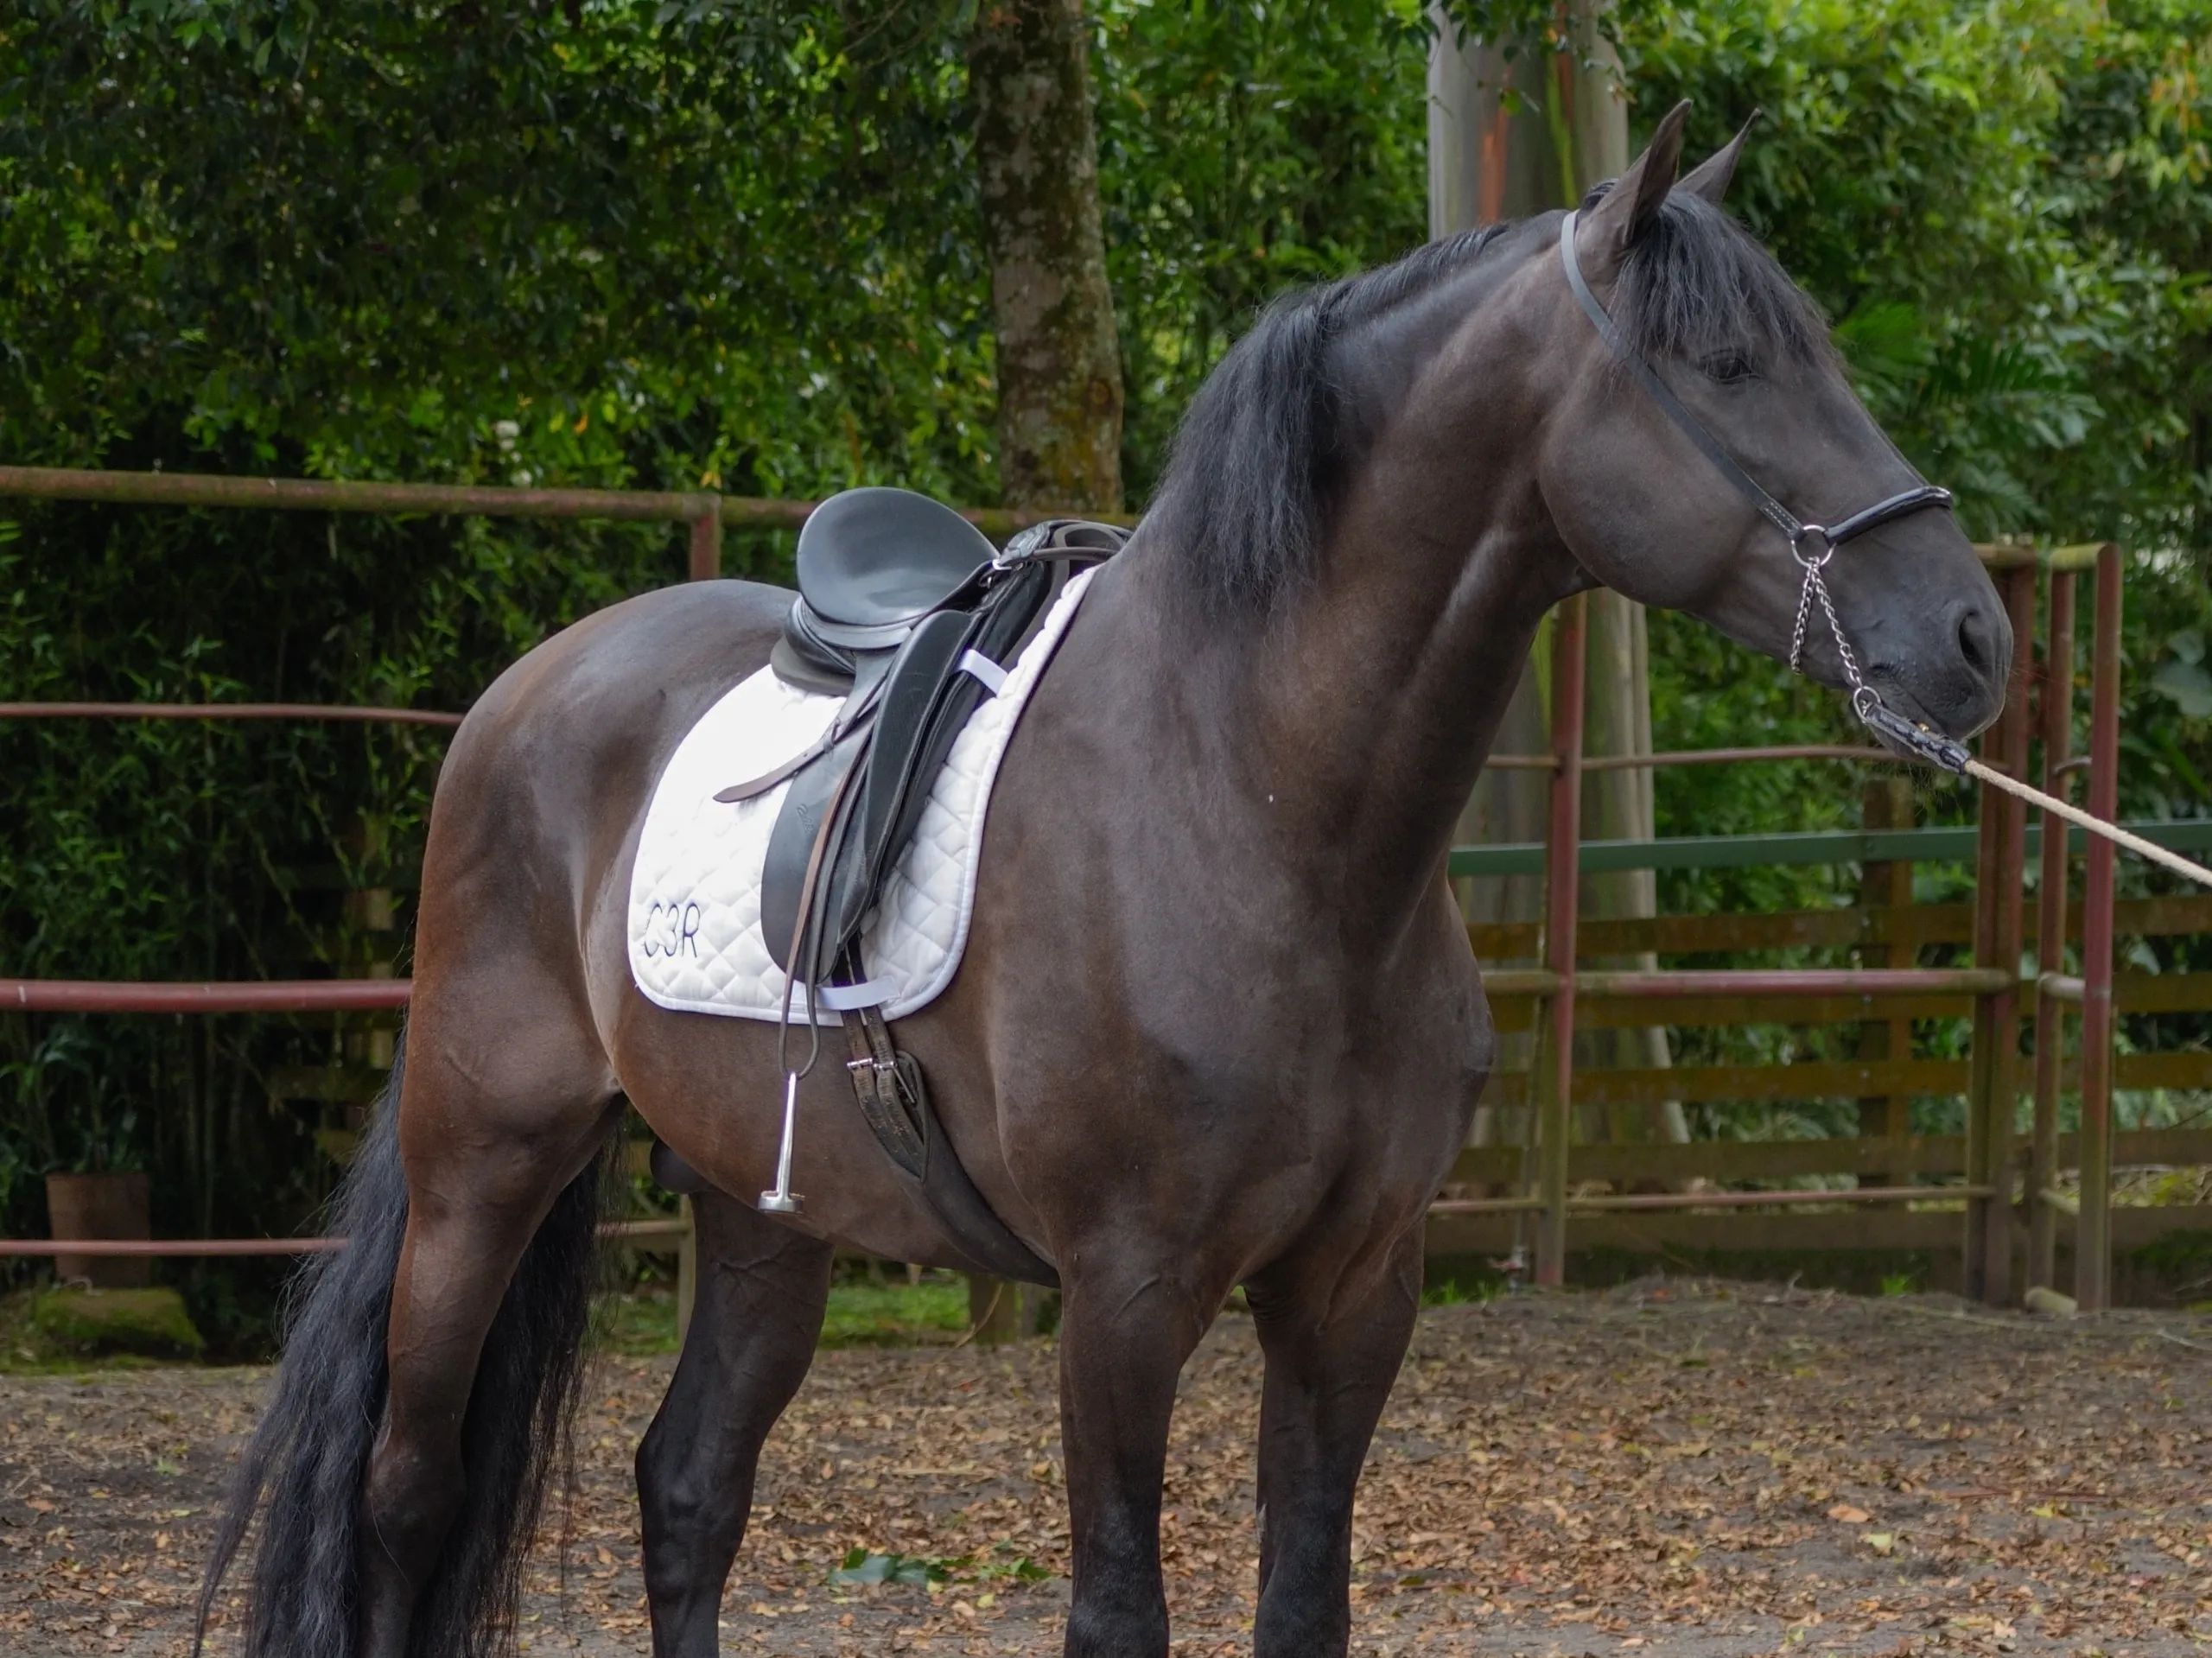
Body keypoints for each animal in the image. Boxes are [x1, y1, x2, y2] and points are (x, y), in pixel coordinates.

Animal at [198, 104, 2010, 1658]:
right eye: (1728, 366)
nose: (1977, 635)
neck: (1260, 812)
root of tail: (525, 692)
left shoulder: (1354, 1287)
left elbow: (1302, 1598)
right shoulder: (1125, 1297)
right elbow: (1117, 1606)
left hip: (764, 1209)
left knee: (688, 1487)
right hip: (485, 1161)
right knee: (406, 1491)